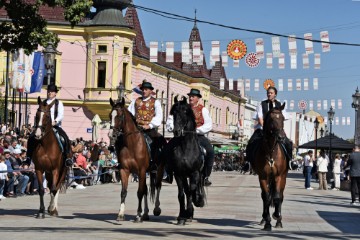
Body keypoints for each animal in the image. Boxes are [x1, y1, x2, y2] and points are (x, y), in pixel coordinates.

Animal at [252, 102, 288, 231]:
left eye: (283, 118)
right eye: (272, 119)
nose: (281, 137)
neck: (271, 151)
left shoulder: (278, 176)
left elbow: (277, 197)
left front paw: (276, 215)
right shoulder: (263, 176)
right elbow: (266, 197)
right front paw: (267, 221)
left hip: (283, 177)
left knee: (280, 196)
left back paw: (279, 220)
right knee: (265, 196)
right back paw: (264, 219)